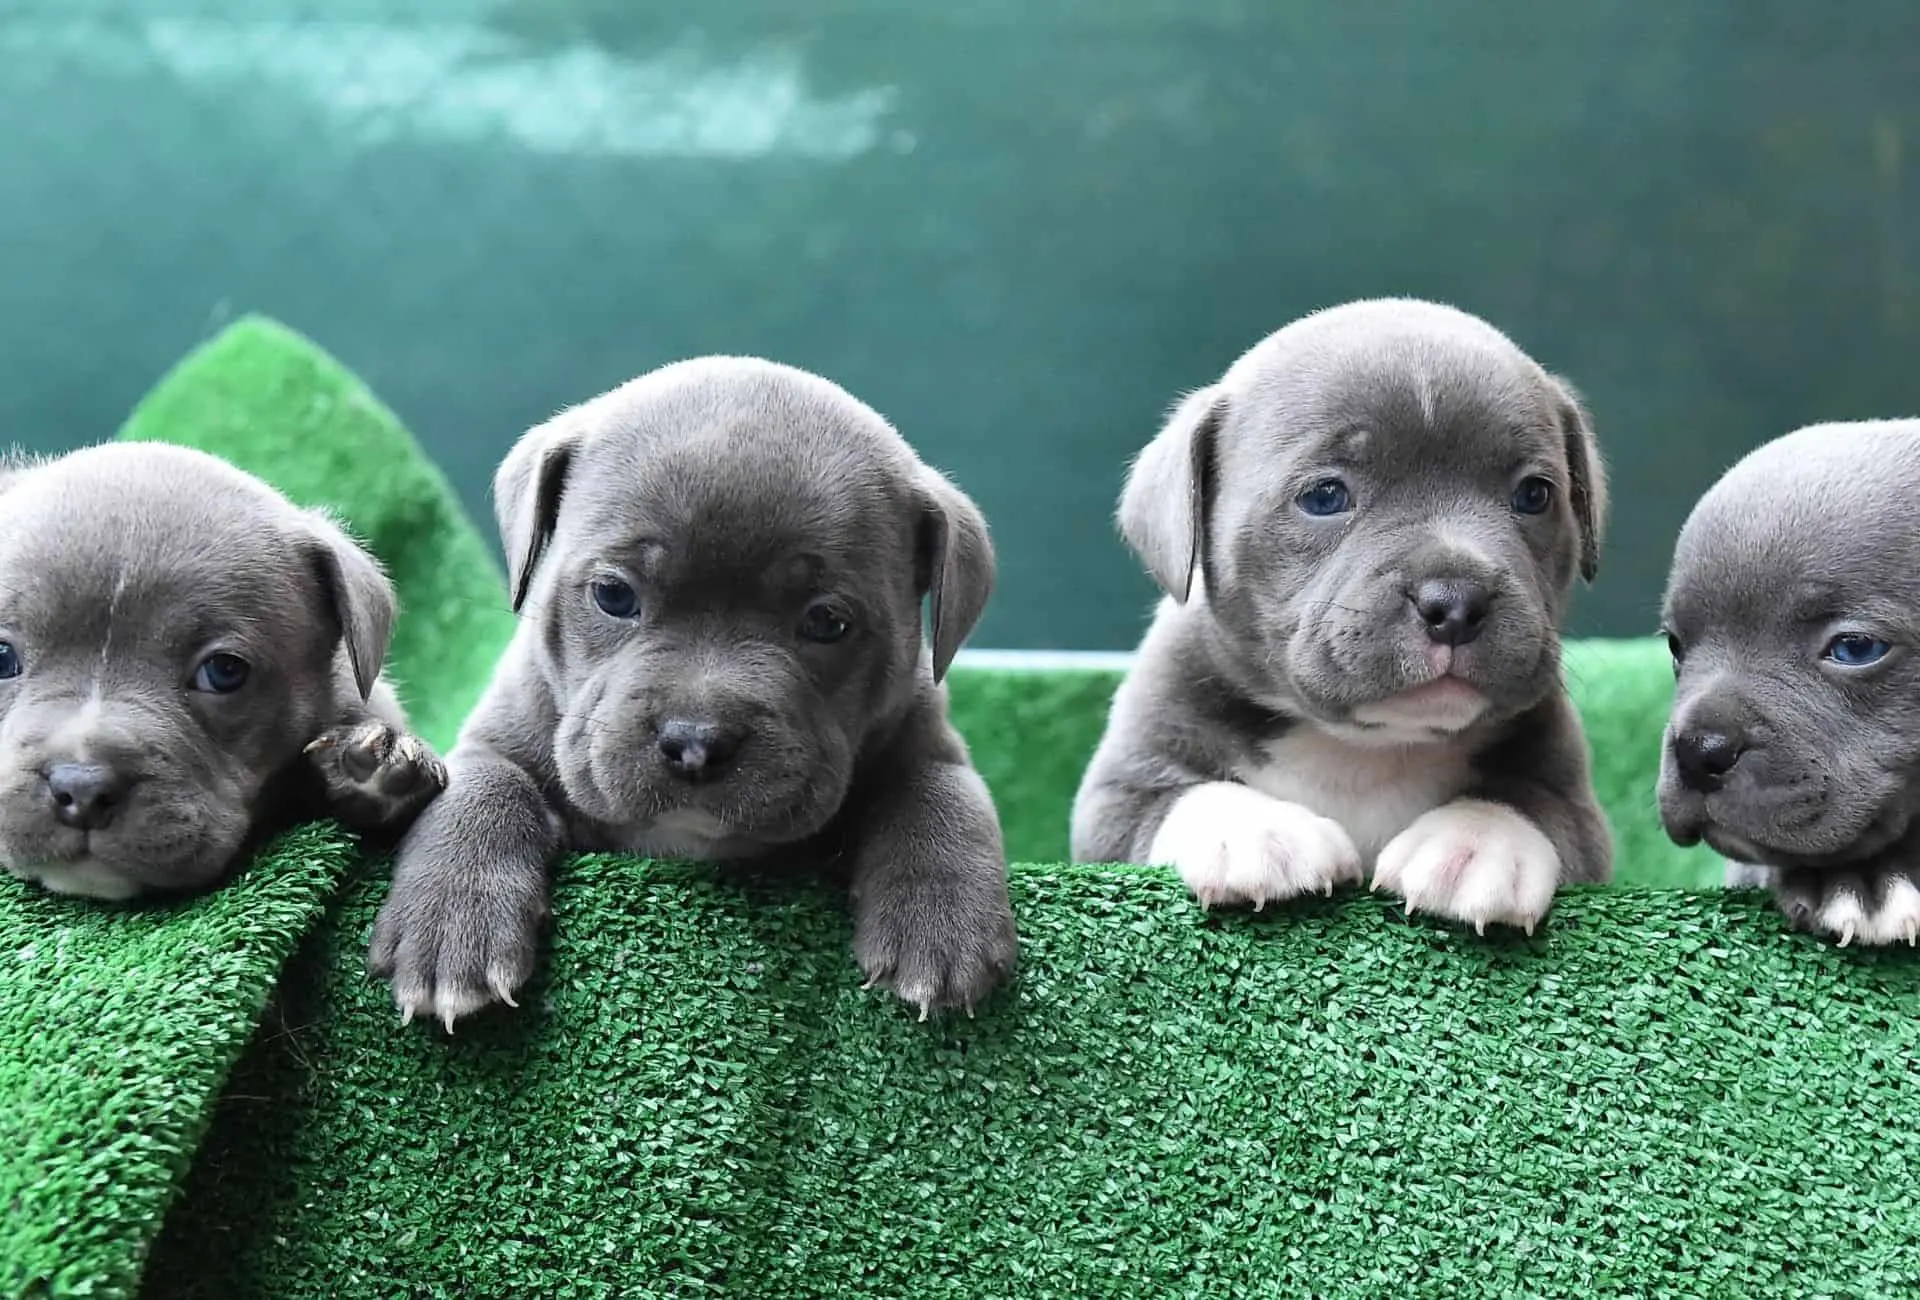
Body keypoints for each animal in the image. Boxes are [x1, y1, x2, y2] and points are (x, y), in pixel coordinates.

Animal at [362, 353, 1021, 1021]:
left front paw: (938, 924)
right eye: (613, 594)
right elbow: (480, 790)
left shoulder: (924, 734)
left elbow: (940, 794)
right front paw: (453, 921)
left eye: (827, 622)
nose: (697, 742)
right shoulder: (502, 732)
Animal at [1075, 297, 1612, 929]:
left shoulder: (1578, 812)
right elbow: (1186, 795)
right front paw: (1256, 832)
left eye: (1534, 495)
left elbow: (1529, 801)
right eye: (1324, 496)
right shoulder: (1118, 797)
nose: (1456, 600)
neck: (1360, 747)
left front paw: (1478, 841)